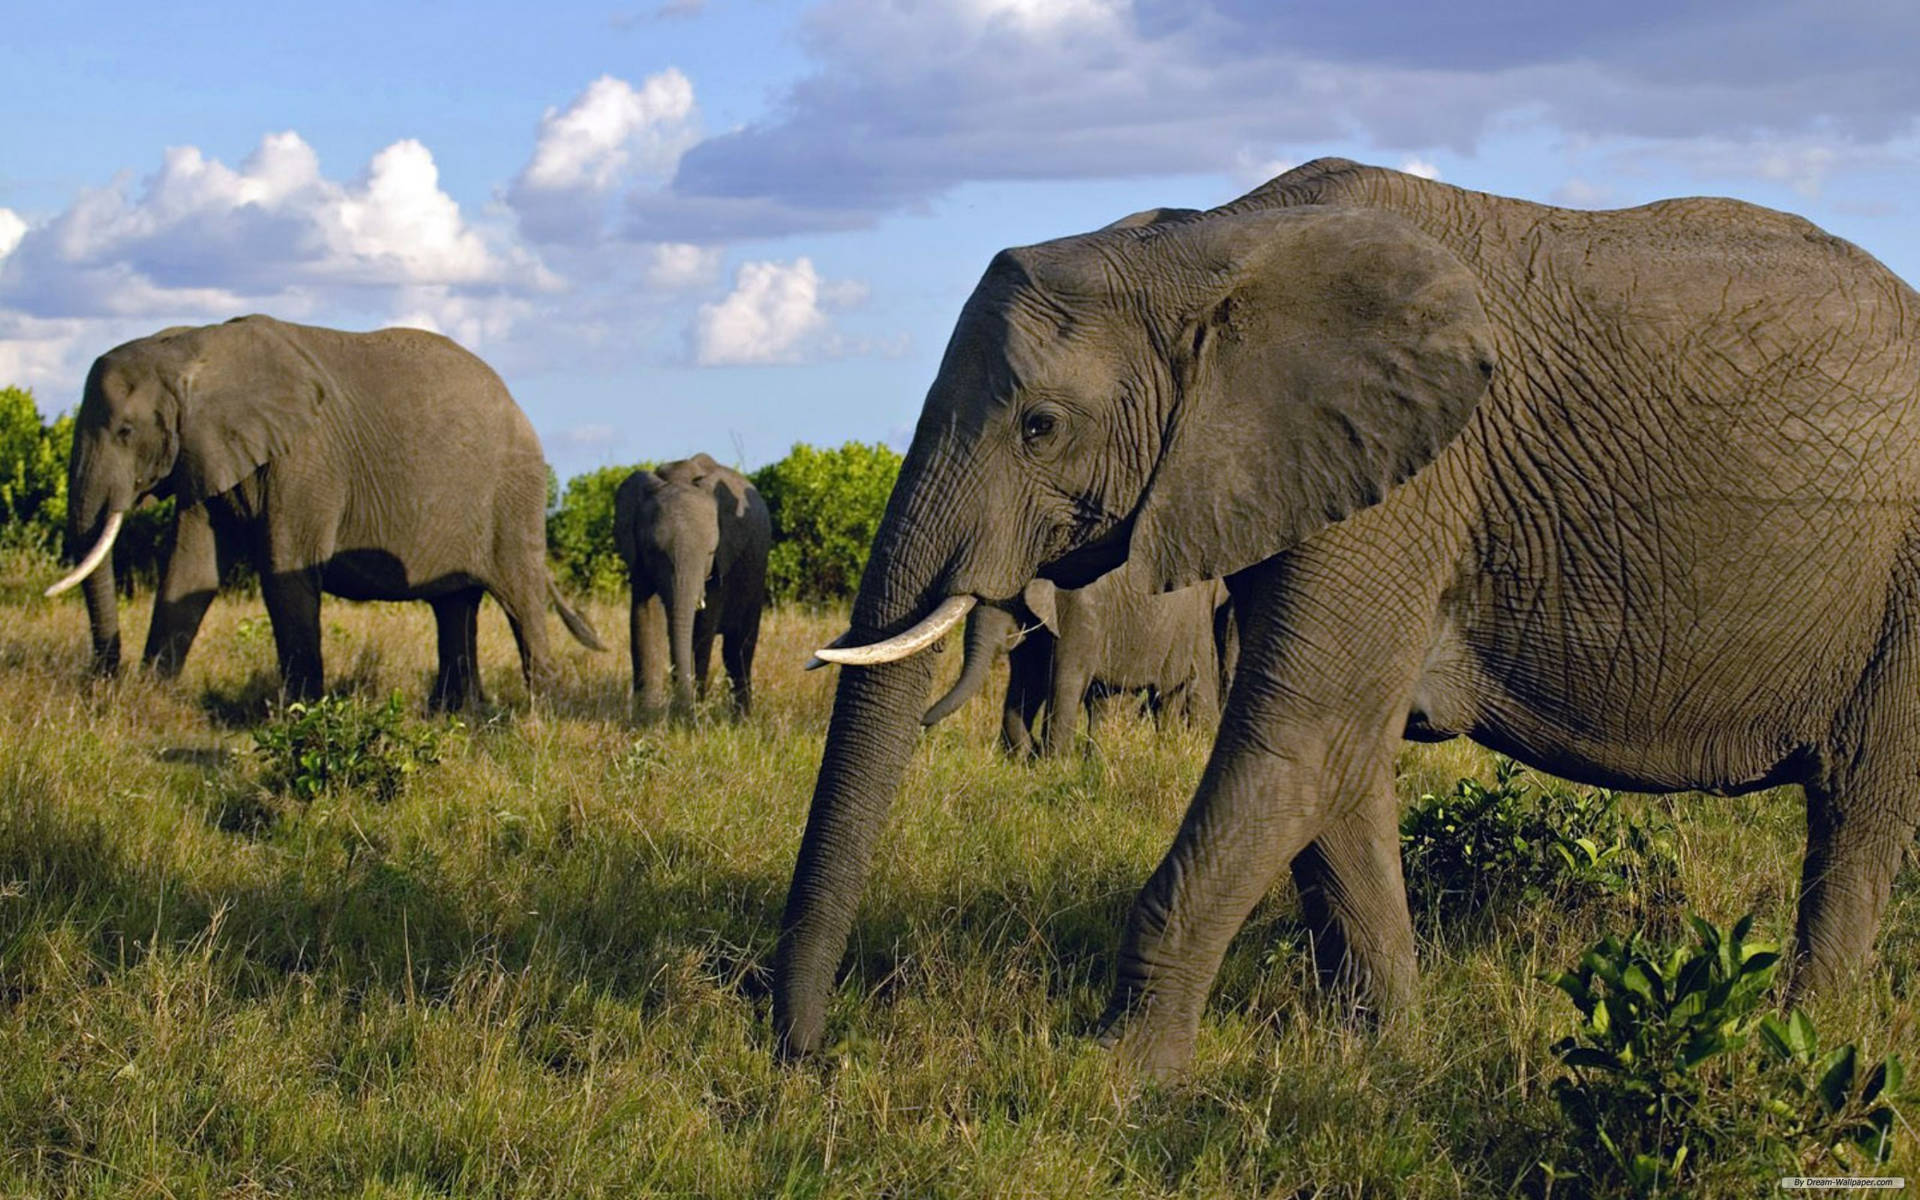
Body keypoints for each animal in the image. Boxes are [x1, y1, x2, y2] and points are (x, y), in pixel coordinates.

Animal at [49, 314, 604, 708]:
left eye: (125, 431)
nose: (102, 678)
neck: (191, 347)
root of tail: (517, 405)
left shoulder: (306, 462)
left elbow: (285, 573)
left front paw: (296, 712)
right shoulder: (206, 452)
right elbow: (191, 570)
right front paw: (150, 700)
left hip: (513, 494)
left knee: (519, 597)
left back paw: (538, 713)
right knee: (454, 604)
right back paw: (457, 713)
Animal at [613, 453, 772, 718]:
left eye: (709, 552)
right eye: (653, 551)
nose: (682, 710)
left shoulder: (722, 563)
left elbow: (702, 629)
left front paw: (690, 715)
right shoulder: (639, 562)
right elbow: (645, 619)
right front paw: (647, 716)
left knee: (738, 648)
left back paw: (742, 719)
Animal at [920, 564, 1235, 757]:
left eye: (1008, 599)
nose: (923, 724)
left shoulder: (1080, 610)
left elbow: (1064, 681)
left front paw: (1052, 764)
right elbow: (1028, 682)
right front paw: (1023, 757)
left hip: (1188, 626)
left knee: (1175, 693)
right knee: (1106, 701)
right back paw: (1096, 759)